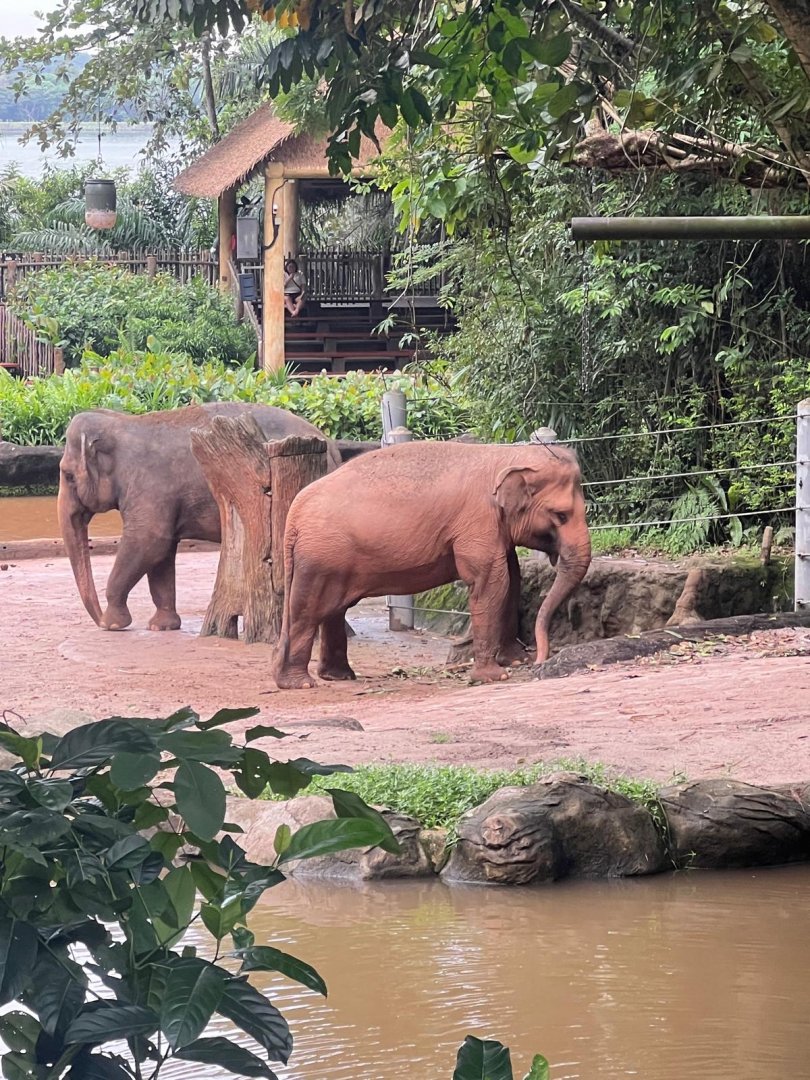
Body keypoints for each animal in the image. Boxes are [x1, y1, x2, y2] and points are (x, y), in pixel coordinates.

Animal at [59, 402, 341, 632]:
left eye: (68, 475)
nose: (97, 618)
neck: (121, 423)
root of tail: (331, 446)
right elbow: (161, 553)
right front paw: (162, 626)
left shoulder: (149, 489)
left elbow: (148, 542)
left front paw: (112, 625)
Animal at [274, 439, 591, 688]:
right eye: (561, 515)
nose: (539, 659)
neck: (505, 456)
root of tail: (293, 516)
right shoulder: (477, 523)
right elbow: (491, 582)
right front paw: (495, 677)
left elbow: (512, 578)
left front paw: (515, 661)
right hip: (320, 558)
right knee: (309, 610)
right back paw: (300, 683)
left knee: (334, 609)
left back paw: (338, 676)